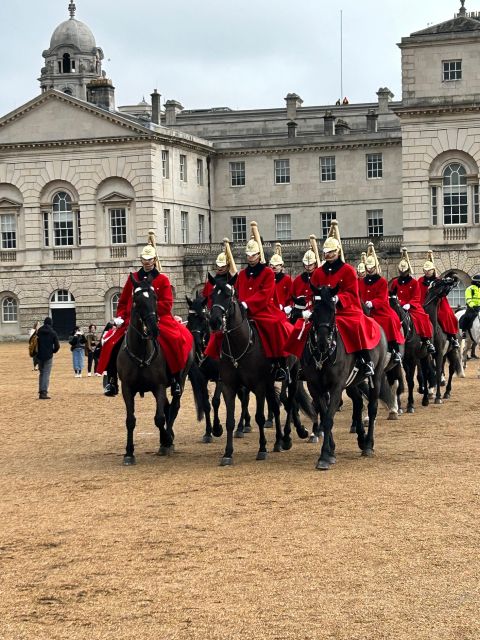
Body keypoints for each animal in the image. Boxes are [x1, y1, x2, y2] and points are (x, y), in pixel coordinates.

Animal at [117, 276, 196, 464]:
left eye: (154, 298)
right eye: (136, 300)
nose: (154, 329)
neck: (141, 351)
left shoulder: (158, 386)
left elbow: (159, 419)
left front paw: (167, 440)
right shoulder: (127, 389)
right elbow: (130, 420)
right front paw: (129, 452)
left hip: (180, 380)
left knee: (173, 406)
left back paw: (168, 439)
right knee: (167, 407)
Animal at [185, 294, 251, 440]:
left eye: (203, 318)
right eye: (189, 318)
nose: (196, 342)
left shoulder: (221, 378)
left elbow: (215, 401)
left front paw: (217, 429)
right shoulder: (202, 378)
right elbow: (206, 404)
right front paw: (208, 432)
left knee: (244, 398)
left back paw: (241, 427)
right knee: (242, 397)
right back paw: (247, 422)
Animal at [207, 276, 306, 464]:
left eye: (228, 295)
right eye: (211, 295)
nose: (215, 321)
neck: (240, 346)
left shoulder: (259, 386)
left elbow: (260, 417)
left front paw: (262, 449)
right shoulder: (229, 386)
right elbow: (229, 420)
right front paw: (228, 453)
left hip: (292, 377)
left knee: (289, 403)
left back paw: (287, 438)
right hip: (270, 382)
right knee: (276, 406)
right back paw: (278, 441)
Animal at [304, 284, 390, 470]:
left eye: (333, 311)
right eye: (315, 309)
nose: (323, 342)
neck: (323, 356)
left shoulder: (336, 386)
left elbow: (329, 418)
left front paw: (324, 456)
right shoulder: (315, 387)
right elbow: (324, 414)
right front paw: (331, 450)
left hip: (377, 377)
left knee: (372, 407)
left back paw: (368, 445)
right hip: (352, 384)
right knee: (358, 402)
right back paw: (361, 439)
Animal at [424, 274, 464, 402]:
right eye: (438, 282)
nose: (454, 279)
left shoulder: (440, 352)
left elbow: (438, 372)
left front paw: (437, 396)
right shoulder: (429, 354)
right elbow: (430, 371)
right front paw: (430, 392)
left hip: (451, 352)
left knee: (450, 369)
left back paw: (447, 392)